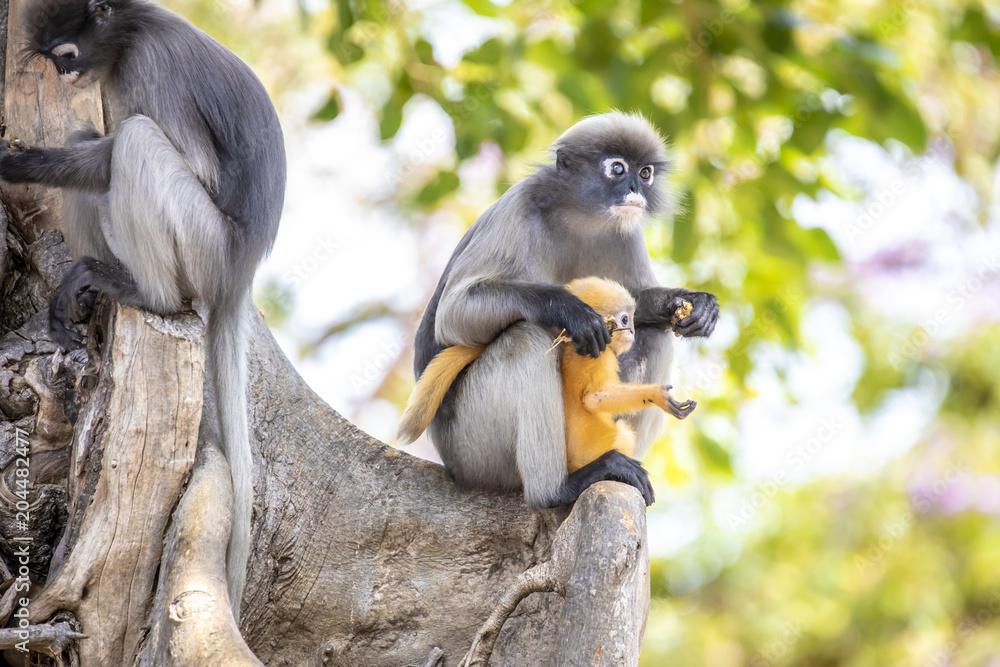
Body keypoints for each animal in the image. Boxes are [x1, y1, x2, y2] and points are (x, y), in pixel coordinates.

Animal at [0, 0, 286, 620]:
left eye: (67, 53)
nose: (65, 76)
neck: (131, 33)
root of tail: (240, 273)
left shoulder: (153, 66)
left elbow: (185, 163)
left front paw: (17, 166)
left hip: (205, 249)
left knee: (133, 143)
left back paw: (145, 294)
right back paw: (89, 298)